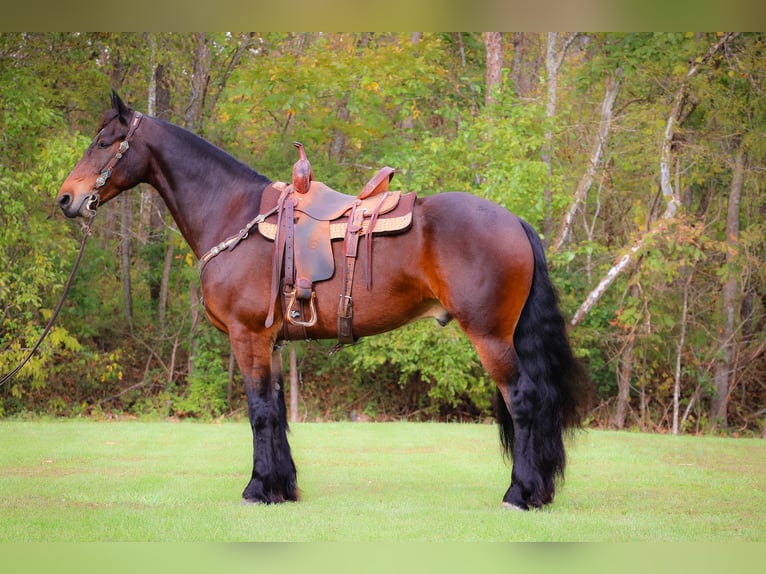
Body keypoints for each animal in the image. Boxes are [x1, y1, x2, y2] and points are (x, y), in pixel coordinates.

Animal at [56, 91, 590, 510]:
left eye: (104, 142)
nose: (65, 198)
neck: (234, 214)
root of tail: (514, 221)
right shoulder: (269, 342)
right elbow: (276, 410)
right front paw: (281, 487)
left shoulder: (247, 337)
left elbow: (259, 412)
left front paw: (257, 489)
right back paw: (539, 491)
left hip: (490, 336)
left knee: (524, 401)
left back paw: (520, 494)